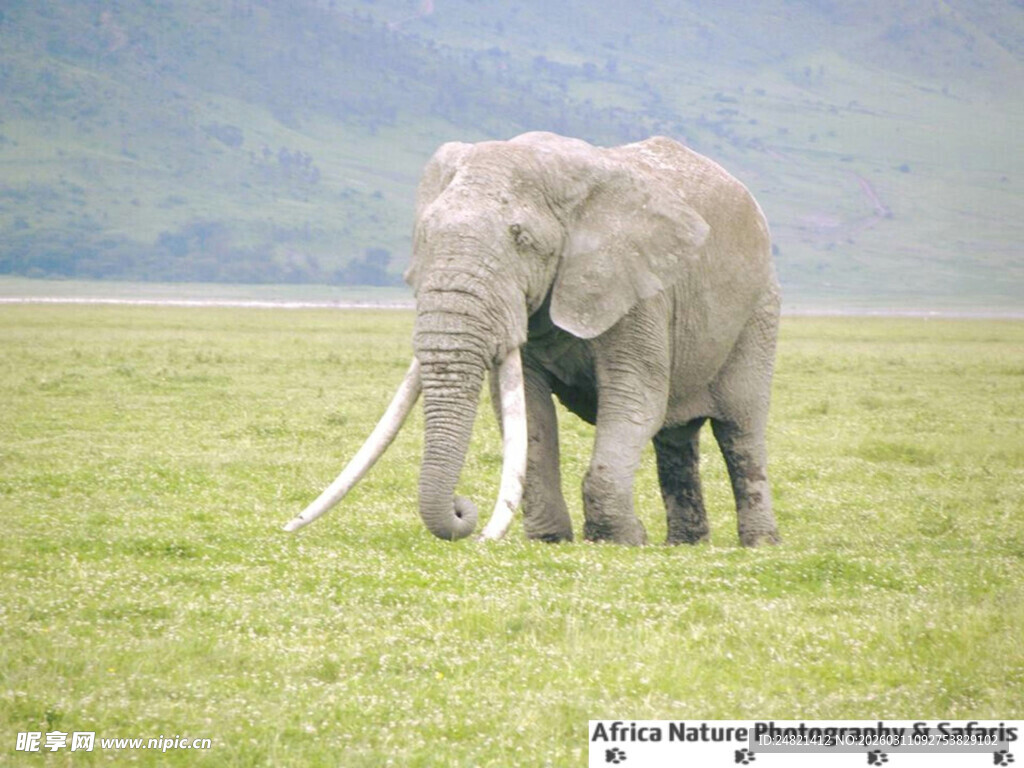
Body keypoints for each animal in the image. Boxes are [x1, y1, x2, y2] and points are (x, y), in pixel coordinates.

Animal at [284, 131, 781, 546]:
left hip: (760, 308)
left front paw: (619, 541)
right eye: (424, 235)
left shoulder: (638, 286)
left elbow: (635, 398)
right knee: (676, 438)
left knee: (740, 429)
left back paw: (759, 544)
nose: (464, 511)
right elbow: (529, 414)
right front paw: (550, 540)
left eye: (520, 238)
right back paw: (685, 545)